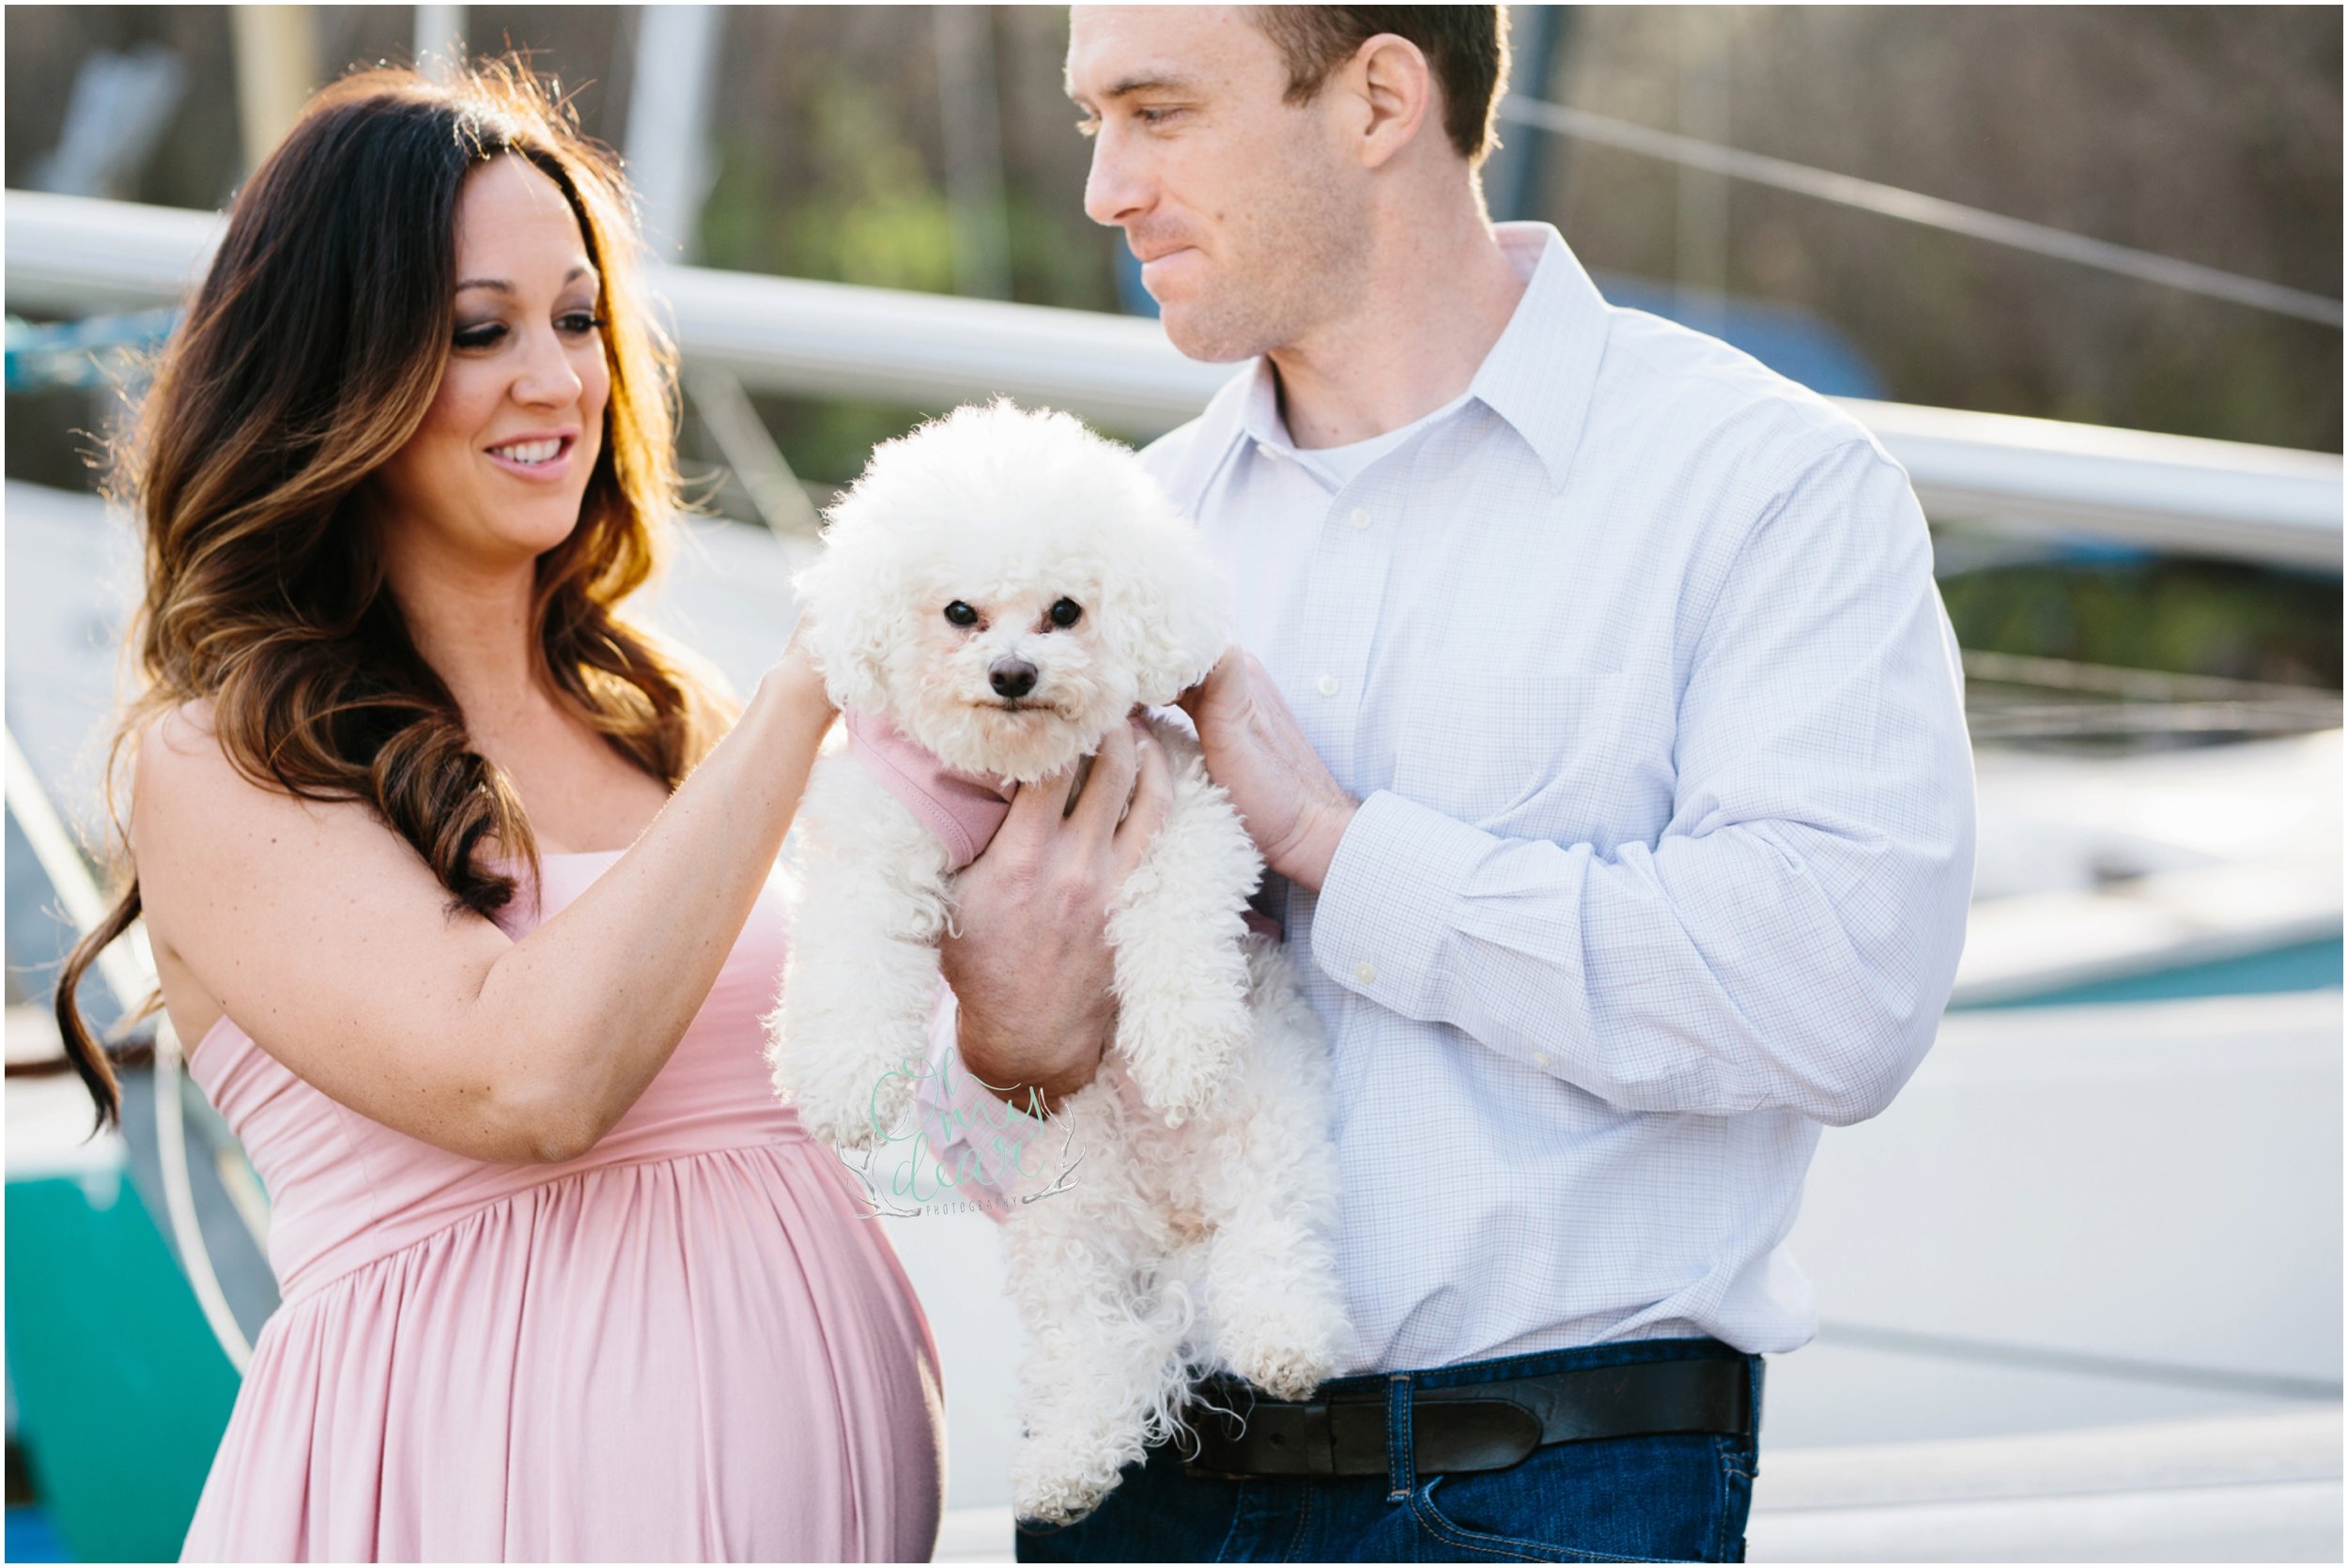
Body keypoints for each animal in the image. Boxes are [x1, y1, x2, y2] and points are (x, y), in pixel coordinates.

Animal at [770, 401, 1352, 1521]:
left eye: (1067, 610)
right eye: (959, 611)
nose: (1012, 673)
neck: (1014, 776)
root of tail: (1171, 1217)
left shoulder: (1186, 808)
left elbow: (1176, 927)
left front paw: (1178, 1051)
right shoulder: (882, 825)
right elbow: (854, 951)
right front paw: (843, 1078)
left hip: (1266, 1130)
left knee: (1271, 1240)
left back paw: (1285, 1341)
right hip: (1066, 1220)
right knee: (1092, 1341)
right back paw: (1068, 1465)